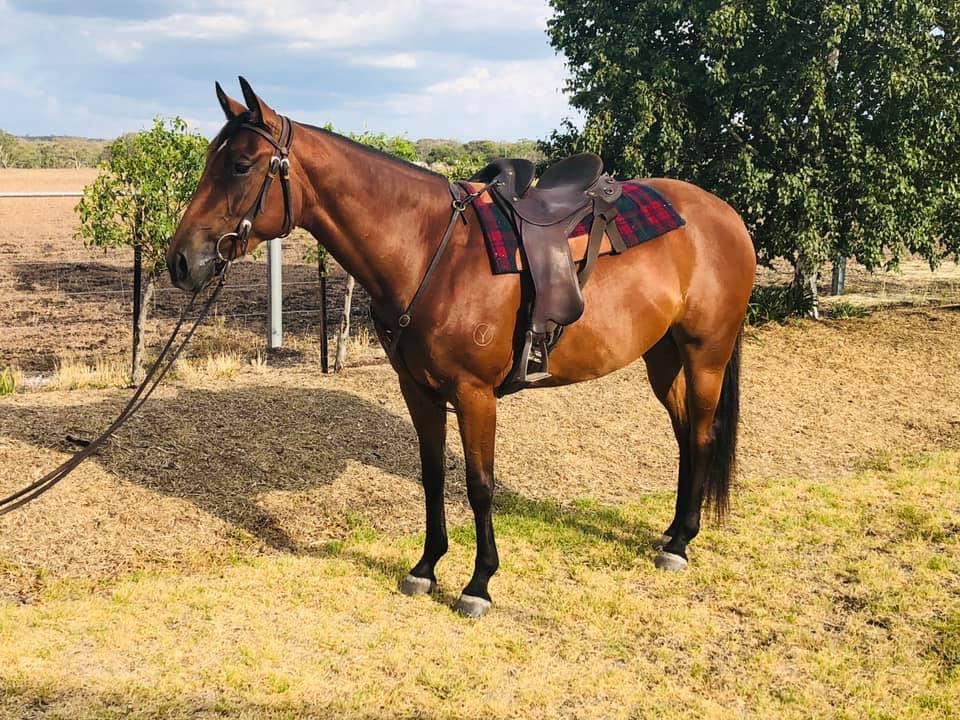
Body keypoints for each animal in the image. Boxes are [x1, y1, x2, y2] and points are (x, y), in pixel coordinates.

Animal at [166, 78, 756, 618]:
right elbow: (432, 477)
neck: (430, 248)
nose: (180, 260)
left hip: (706, 353)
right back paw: (672, 531)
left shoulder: (475, 395)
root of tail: (725, 215)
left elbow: (479, 485)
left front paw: (479, 583)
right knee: (684, 433)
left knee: (701, 433)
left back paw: (682, 543)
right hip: (664, 355)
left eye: (241, 165)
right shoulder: (418, 390)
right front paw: (426, 567)